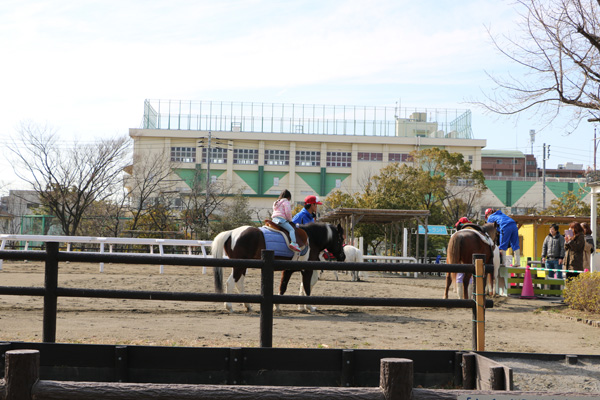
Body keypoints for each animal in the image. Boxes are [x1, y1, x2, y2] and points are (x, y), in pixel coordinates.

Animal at [211, 222, 344, 312]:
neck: (311, 239)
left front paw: (278, 306)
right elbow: (306, 287)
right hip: (239, 266)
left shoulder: (288, 270)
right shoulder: (307, 270)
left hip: (243, 266)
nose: (342, 256)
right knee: (230, 282)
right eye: (340, 239)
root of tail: (231, 233)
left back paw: (248, 305)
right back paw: (229, 306)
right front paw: (309, 306)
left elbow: (283, 287)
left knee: (239, 283)